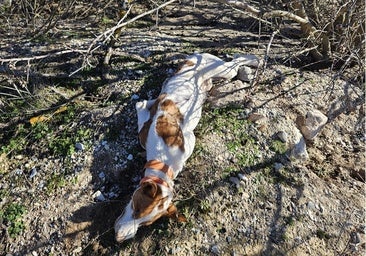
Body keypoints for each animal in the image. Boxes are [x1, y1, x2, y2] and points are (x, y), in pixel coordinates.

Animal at [113, 52, 258, 242]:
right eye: (135, 208)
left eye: (143, 221)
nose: (119, 238)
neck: (163, 161)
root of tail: (196, 54)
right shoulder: (145, 124)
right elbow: (142, 105)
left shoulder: (188, 137)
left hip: (225, 71)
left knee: (237, 60)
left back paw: (253, 58)